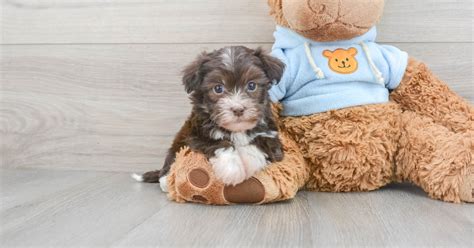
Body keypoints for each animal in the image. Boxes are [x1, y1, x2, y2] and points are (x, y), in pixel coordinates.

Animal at [133, 45, 286, 187]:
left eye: (252, 85)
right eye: (218, 88)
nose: (238, 109)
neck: (237, 130)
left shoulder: (270, 133)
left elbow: (260, 144)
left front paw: (248, 162)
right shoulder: (197, 134)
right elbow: (219, 143)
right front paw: (232, 170)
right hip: (179, 142)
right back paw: (166, 179)